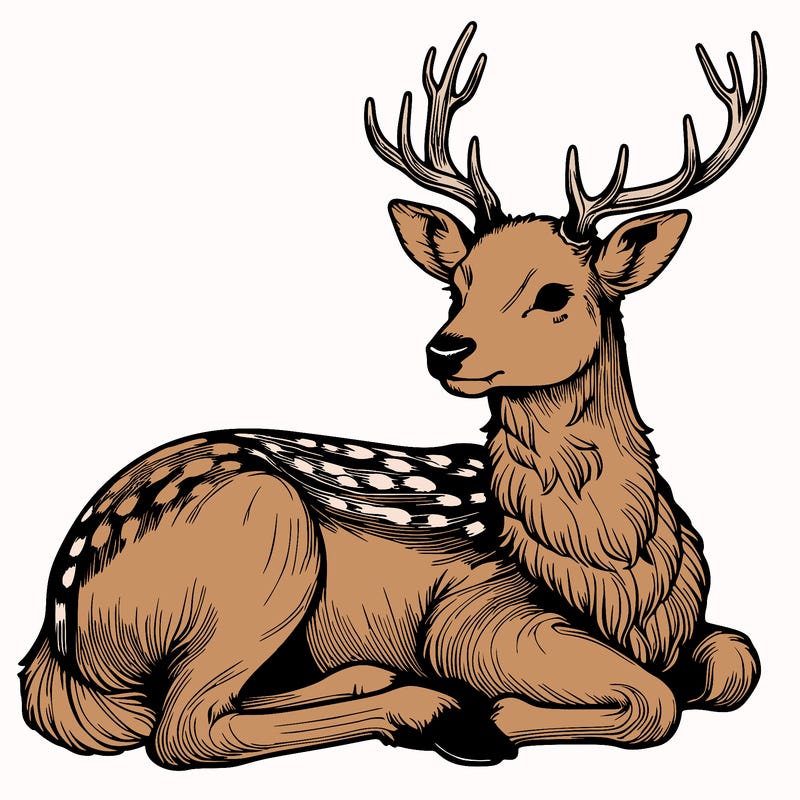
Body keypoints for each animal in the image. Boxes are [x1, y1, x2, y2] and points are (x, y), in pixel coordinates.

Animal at [20, 23, 765, 769]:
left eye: (555, 293)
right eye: (458, 283)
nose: (446, 348)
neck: (616, 574)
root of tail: (53, 640)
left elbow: (737, 660)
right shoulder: (476, 613)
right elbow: (655, 701)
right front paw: (492, 716)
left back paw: (379, 680)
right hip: (266, 543)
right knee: (183, 727)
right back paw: (433, 711)